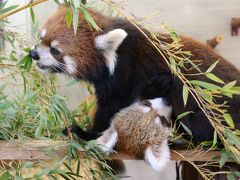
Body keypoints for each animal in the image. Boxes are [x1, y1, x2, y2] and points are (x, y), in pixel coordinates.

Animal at [29, 4, 240, 143]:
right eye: (41, 37)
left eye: (55, 50)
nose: (33, 54)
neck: (115, 55)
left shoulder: (125, 73)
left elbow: (112, 108)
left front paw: (87, 134)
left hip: (198, 97)